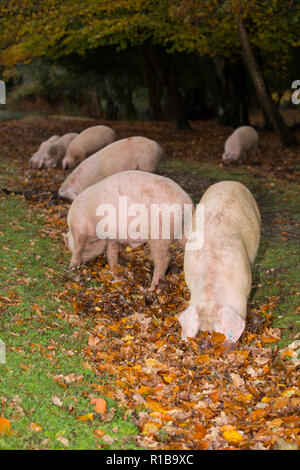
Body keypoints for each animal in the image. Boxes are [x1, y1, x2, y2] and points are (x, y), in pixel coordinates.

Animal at [64, 171, 193, 290]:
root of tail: (185, 201)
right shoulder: (111, 236)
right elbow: (111, 253)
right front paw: (113, 270)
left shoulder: (79, 228)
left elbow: (78, 248)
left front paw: (71, 268)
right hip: (184, 230)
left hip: (158, 233)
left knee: (164, 259)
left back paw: (151, 289)